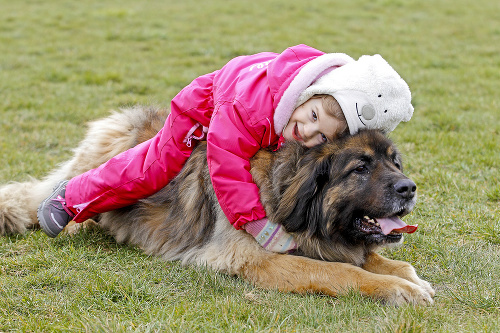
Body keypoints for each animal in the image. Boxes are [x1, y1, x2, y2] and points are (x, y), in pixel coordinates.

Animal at [0, 107, 434, 304]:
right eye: (360, 168)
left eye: (394, 162)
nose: (409, 188)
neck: (282, 189)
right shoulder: (258, 258)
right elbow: (341, 272)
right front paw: (398, 289)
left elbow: (374, 259)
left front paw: (409, 277)